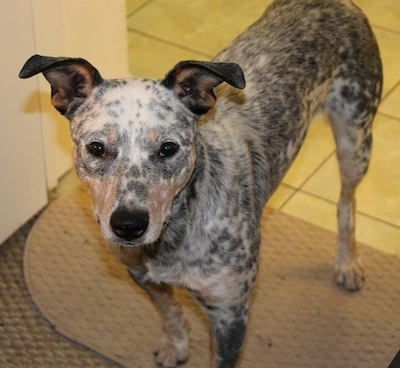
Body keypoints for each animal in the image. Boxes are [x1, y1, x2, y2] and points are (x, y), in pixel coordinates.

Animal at [18, 0, 382, 366]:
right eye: (96, 147)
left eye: (168, 148)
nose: (128, 225)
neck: (173, 235)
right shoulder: (142, 276)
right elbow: (170, 311)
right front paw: (175, 343)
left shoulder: (230, 312)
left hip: (356, 139)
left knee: (347, 201)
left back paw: (347, 263)